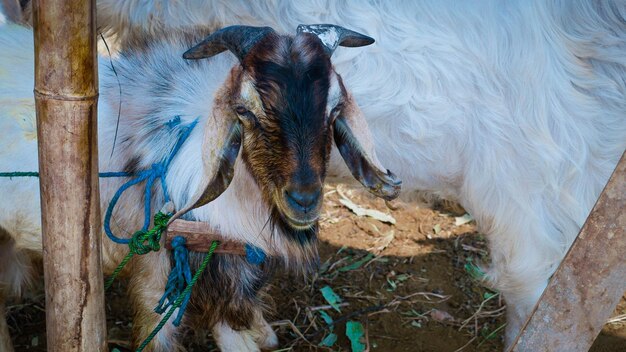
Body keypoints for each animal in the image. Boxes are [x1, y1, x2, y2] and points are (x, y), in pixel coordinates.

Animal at [0, 23, 400, 350]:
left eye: (333, 112)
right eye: (246, 112)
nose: (304, 200)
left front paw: (263, 334)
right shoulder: (157, 271)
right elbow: (160, 333)